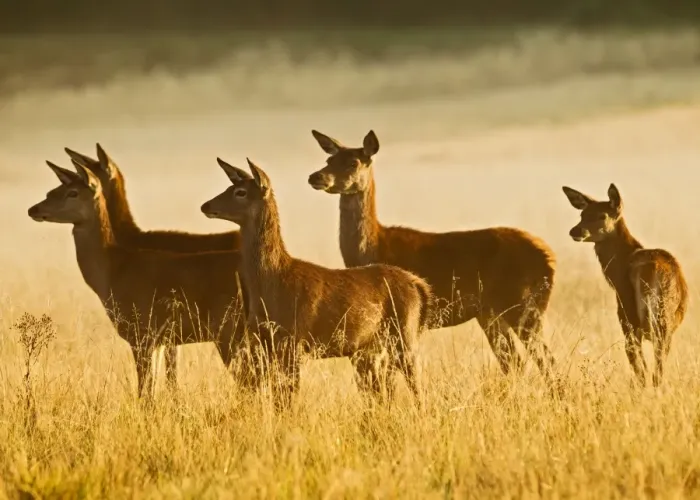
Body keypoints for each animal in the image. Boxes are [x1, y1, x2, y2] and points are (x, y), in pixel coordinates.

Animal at [27, 161, 249, 399]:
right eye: (52, 190)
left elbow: (145, 392)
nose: (34, 209)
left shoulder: (142, 332)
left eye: (73, 192)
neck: (114, 271)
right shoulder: (160, 339)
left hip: (230, 329)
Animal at [200, 157, 436, 408]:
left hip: (404, 334)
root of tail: (418, 284)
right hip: (372, 347)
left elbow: (288, 398)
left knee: (417, 386)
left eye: (240, 192)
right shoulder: (264, 342)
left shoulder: (294, 340)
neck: (272, 282)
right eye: (229, 187)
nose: (205, 206)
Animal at [307, 130, 558, 386]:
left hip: (524, 303)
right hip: (491, 312)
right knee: (516, 361)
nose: (316, 177)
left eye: (353, 162)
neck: (373, 247)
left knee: (545, 359)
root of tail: (550, 258)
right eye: (329, 159)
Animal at [562, 183, 688, 387]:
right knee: (654, 370)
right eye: (582, 214)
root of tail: (652, 269)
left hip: (631, 318)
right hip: (657, 321)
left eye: (602, 215)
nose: (575, 231)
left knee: (644, 369)